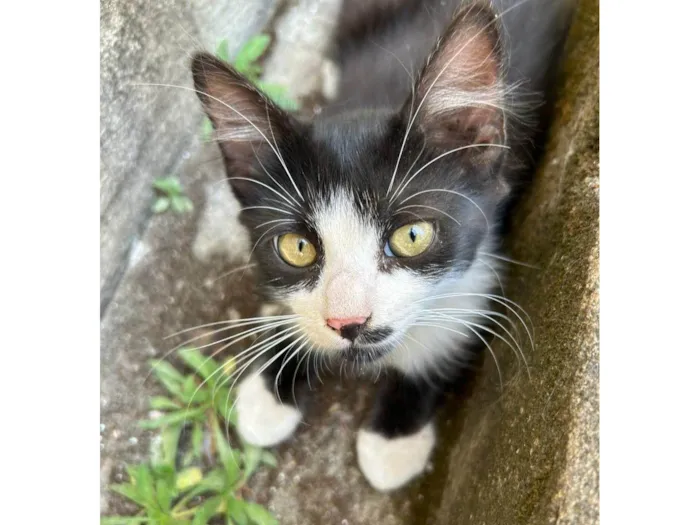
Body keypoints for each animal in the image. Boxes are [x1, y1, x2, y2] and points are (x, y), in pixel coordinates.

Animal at [190, 0, 576, 492]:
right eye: (297, 247)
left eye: (412, 237)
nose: (348, 321)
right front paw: (272, 386)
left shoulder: (488, 236)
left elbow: (455, 321)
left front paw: (394, 437)